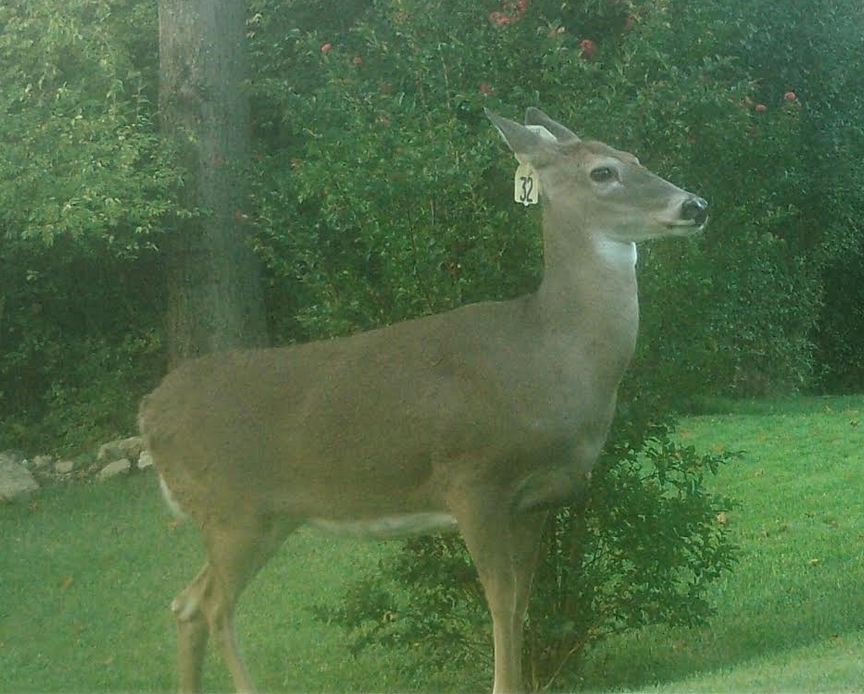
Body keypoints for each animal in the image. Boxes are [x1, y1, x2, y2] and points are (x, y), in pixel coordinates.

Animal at [138, 107, 708, 694]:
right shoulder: (472, 479)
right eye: (603, 172)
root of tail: (148, 413)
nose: (694, 205)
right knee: (215, 607)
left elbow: (522, 605)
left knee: (186, 603)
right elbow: (500, 603)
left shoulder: (538, 499)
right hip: (233, 510)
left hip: (266, 517)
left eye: (636, 157)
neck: (548, 357)